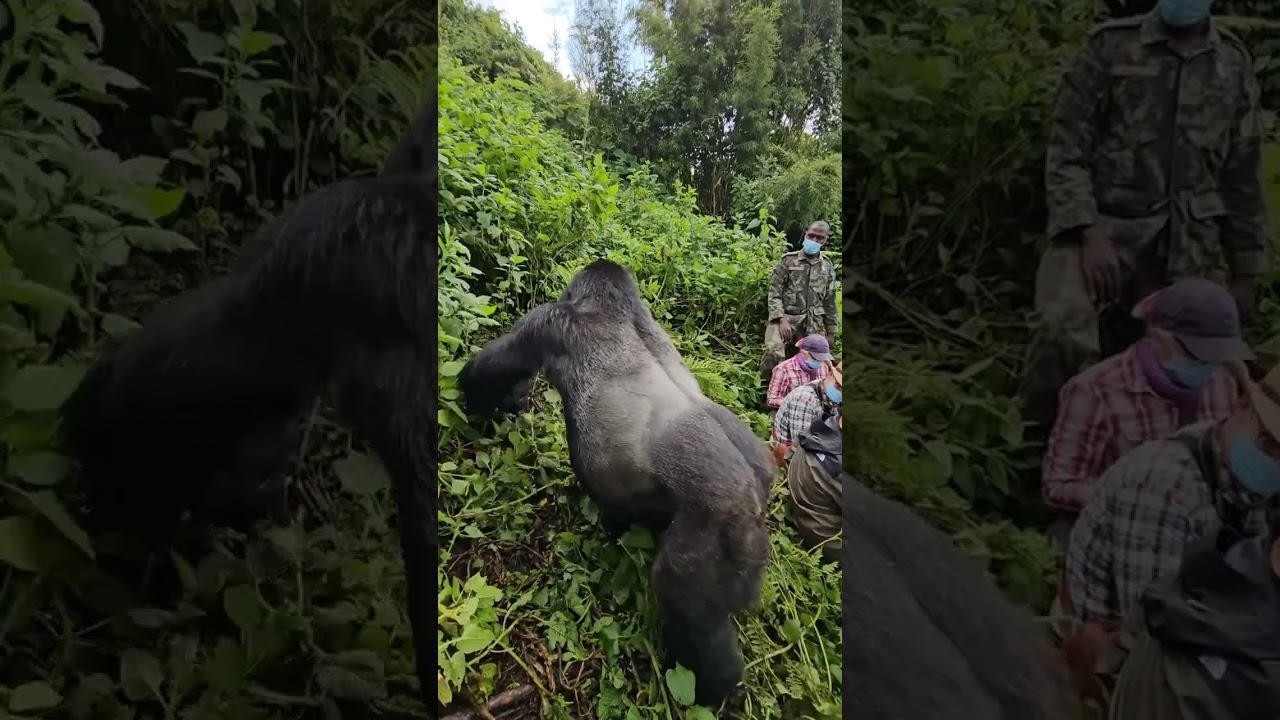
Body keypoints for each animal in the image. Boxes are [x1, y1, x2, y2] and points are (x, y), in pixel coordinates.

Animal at [459, 260, 774, 708]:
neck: (617, 310)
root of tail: (755, 494)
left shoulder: (547, 321)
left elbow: (495, 367)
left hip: (721, 519)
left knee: (687, 607)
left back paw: (710, 688)